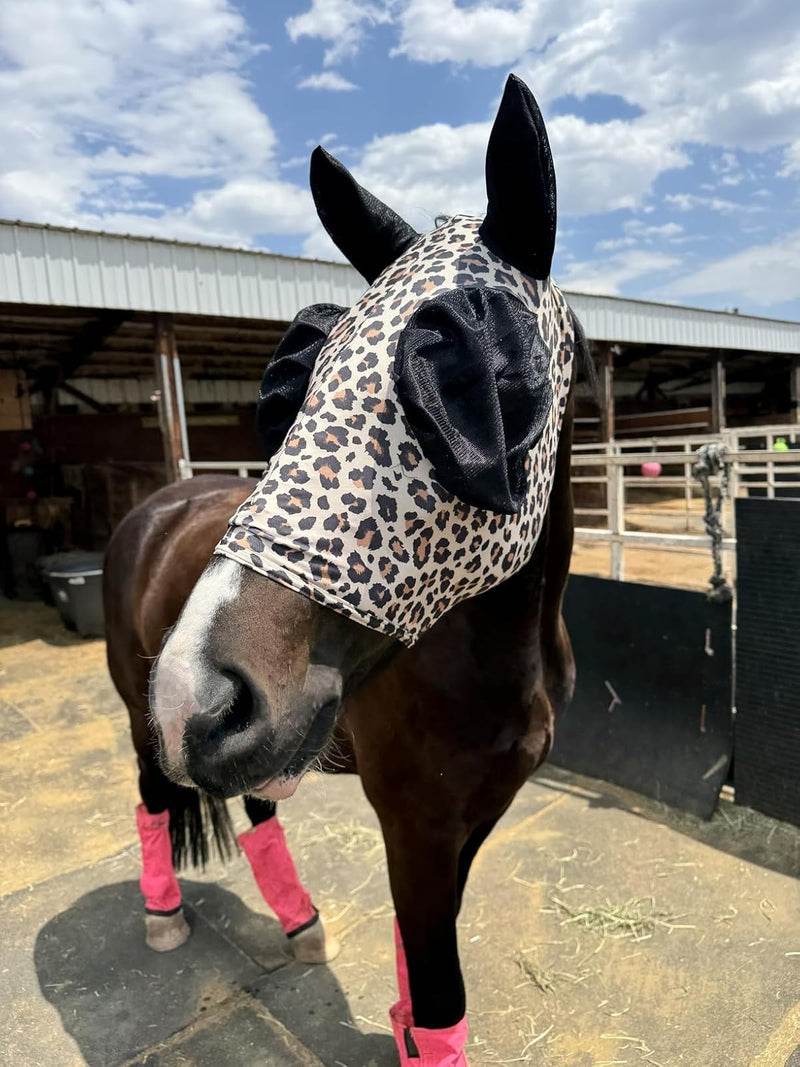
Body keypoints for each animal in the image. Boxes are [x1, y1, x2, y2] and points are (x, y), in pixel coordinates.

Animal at [111, 75, 587, 1065]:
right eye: (300, 383)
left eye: (484, 386)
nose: (196, 696)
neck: (496, 658)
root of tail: (157, 505)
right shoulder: (415, 823)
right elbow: (442, 1004)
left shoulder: (466, 822)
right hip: (141, 723)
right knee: (152, 799)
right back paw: (164, 915)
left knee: (255, 805)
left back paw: (298, 921)